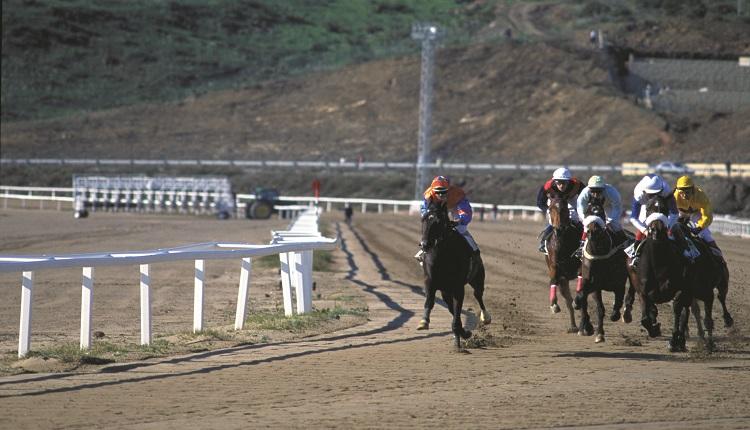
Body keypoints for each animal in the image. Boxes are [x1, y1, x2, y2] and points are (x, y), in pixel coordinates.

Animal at [420, 198, 490, 350]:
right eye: (423, 219)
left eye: (438, 221)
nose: (424, 244)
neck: (442, 256)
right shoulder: (431, 282)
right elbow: (430, 301)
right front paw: (424, 322)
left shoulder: (458, 287)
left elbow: (458, 310)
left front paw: (459, 338)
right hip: (446, 291)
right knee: (451, 307)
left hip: (477, 279)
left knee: (478, 295)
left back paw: (485, 317)